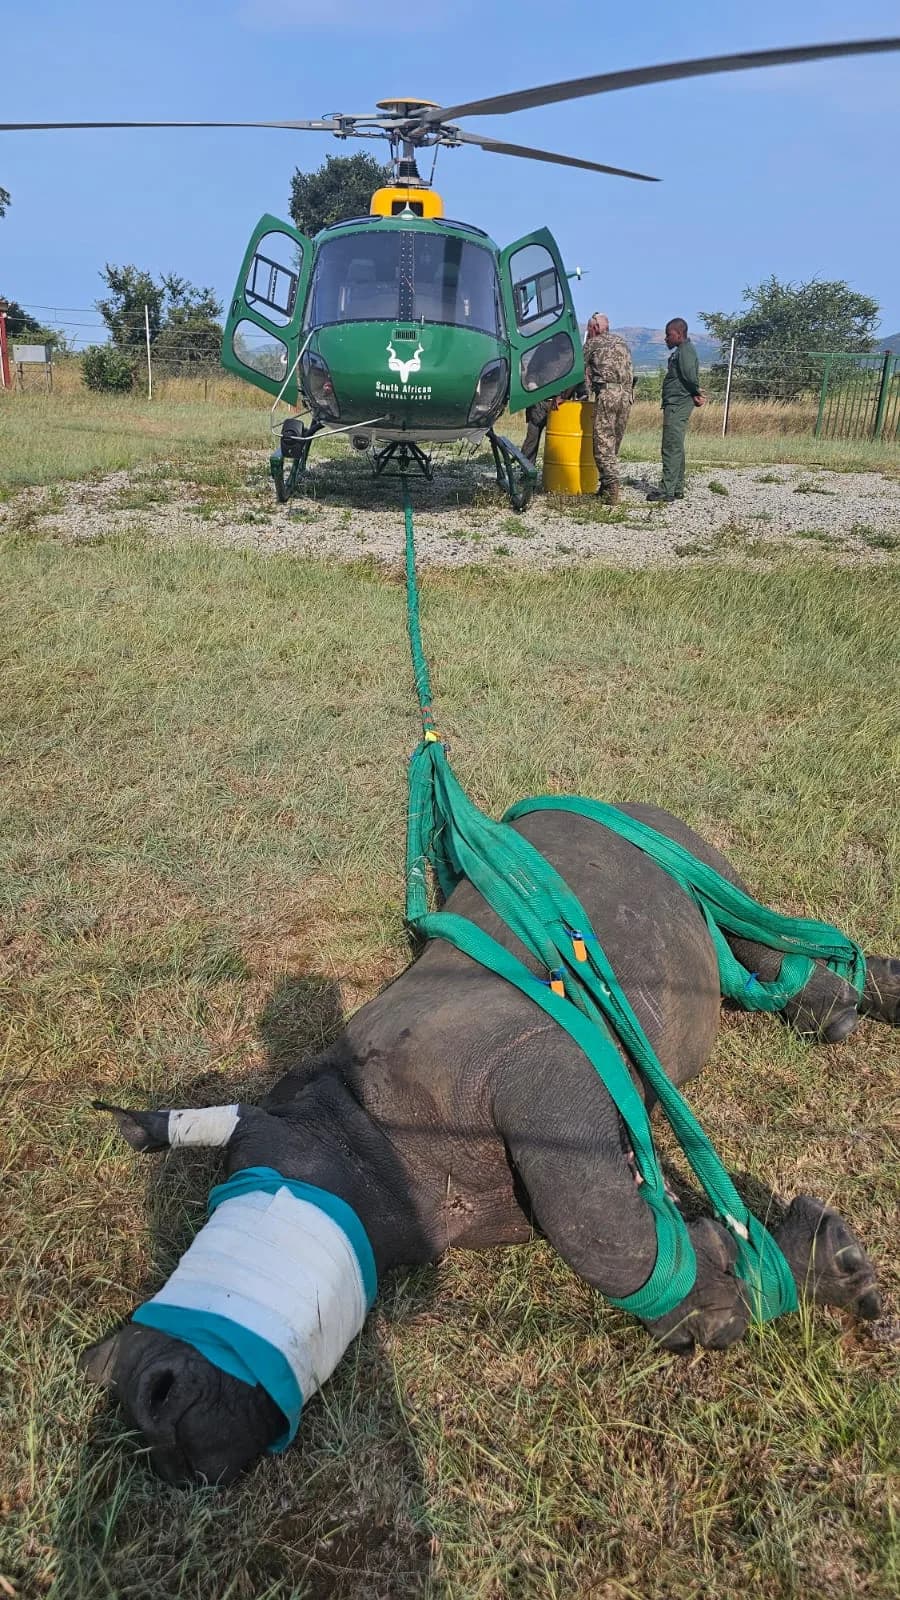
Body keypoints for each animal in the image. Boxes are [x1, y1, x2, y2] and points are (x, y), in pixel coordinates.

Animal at [81, 803, 898, 1484]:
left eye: (245, 1179)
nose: (132, 1387)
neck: (357, 1133)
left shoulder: (536, 1064)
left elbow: (596, 1229)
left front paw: (807, 1273)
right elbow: (618, 1214)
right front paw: (751, 1269)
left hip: (683, 851)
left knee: (758, 933)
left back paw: (835, 1010)